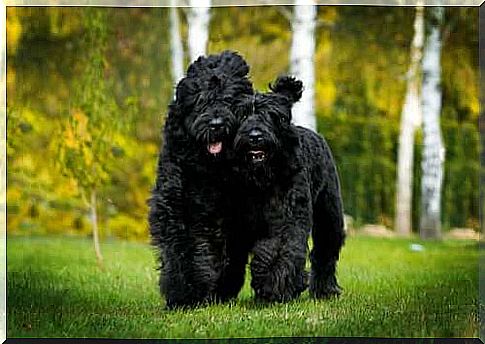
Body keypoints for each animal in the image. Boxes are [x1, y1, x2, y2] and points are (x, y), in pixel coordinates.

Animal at [147, 49, 253, 308]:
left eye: (228, 100)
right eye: (201, 101)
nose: (216, 124)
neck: (208, 167)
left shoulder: (227, 216)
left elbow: (222, 253)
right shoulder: (175, 206)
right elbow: (180, 248)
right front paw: (183, 293)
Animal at [233, 74, 346, 300]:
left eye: (271, 115)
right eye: (243, 115)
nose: (255, 136)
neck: (264, 179)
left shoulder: (289, 218)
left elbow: (280, 249)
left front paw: (274, 283)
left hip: (329, 214)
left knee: (325, 251)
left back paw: (325, 290)